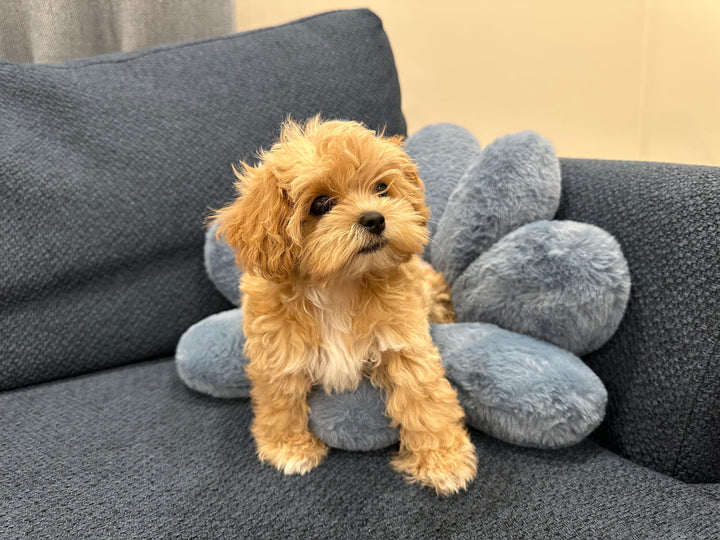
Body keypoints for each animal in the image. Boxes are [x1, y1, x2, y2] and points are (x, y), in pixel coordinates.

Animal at [211, 116, 476, 496]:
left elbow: (424, 397)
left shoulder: (404, 341)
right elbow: (280, 399)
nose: (375, 218)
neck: (337, 284)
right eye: (321, 203)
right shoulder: (279, 349)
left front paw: (444, 460)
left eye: (381, 188)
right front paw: (289, 447)